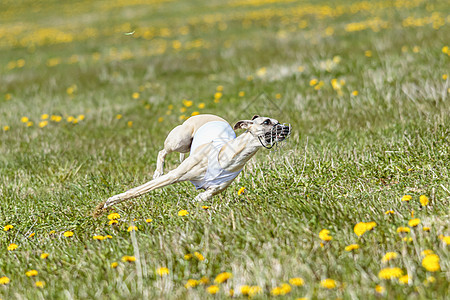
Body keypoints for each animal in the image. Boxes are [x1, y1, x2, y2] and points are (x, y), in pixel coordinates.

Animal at [95, 113, 292, 214]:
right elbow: (137, 190)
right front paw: (109, 202)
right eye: (266, 121)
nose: (287, 128)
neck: (227, 156)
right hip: (179, 140)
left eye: (278, 121)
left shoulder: (215, 189)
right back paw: (158, 170)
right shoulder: (173, 176)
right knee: (162, 152)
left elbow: (204, 196)